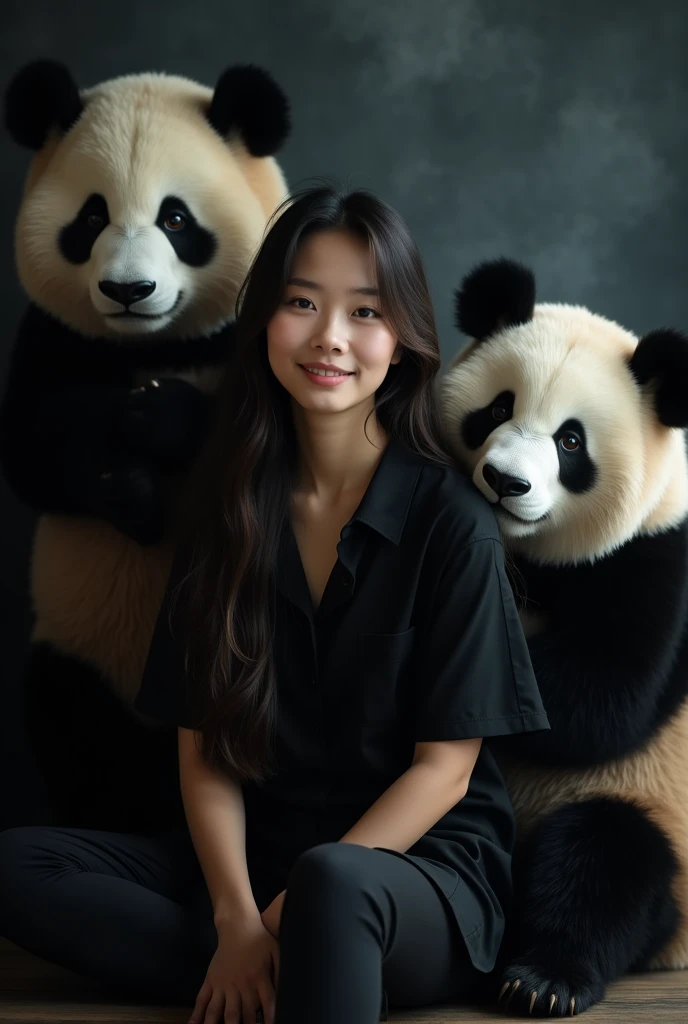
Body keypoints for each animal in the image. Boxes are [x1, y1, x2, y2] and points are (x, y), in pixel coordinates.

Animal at [0, 59, 290, 835]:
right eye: (92, 217)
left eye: (176, 219)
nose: (128, 290)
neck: (153, 345)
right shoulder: (50, 338)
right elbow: (34, 453)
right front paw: (129, 479)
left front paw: (160, 416)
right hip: (75, 653)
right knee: (66, 721)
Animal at [438, 258, 688, 1015]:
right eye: (497, 408)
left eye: (570, 442)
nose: (504, 481)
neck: (531, 557)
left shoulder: (654, 556)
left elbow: (601, 698)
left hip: (649, 807)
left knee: (603, 864)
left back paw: (542, 978)